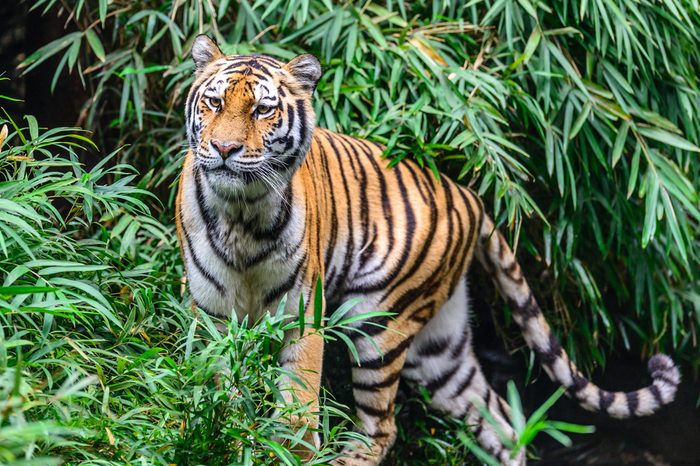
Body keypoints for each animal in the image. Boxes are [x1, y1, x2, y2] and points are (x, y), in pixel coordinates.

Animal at [174, 34, 680, 464]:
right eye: (215, 102)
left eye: (263, 110)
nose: (224, 148)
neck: (241, 213)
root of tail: (470, 195)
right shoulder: (211, 314)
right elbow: (221, 390)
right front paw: (225, 437)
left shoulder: (302, 317)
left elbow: (296, 411)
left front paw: (287, 451)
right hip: (441, 352)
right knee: (501, 421)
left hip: (378, 323)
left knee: (383, 429)